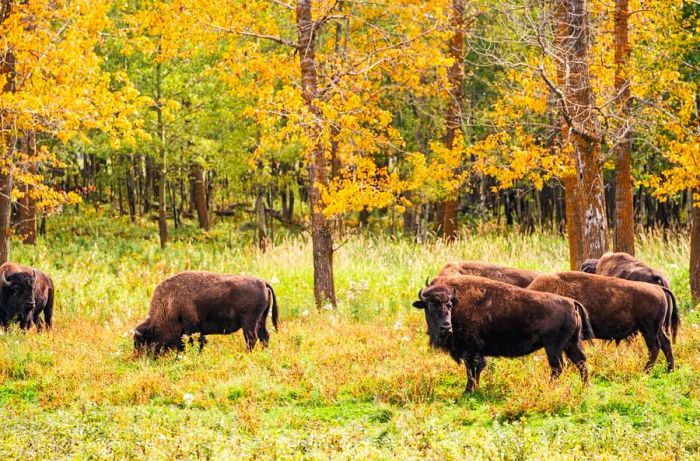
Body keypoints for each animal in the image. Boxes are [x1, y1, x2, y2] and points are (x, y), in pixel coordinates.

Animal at [134, 272, 278, 354]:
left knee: (252, 338)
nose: (139, 358)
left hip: (249, 322)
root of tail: (263, 283)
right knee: (264, 336)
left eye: (142, 342)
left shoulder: (192, 329)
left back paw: (246, 354)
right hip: (261, 320)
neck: (169, 303)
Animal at [412, 274, 592, 392]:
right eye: (430, 306)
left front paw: (468, 391)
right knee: (580, 361)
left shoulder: (471, 349)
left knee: (558, 367)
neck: (458, 303)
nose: (446, 327)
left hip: (553, 347)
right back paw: (585, 386)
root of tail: (571, 302)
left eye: (449, 305)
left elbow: (472, 370)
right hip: (571, 343)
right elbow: (474, 370)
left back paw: (548, 387)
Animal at [532, 272, 680, 372]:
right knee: (666, 344)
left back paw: (645, 371)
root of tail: (659, 289)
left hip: (649, 330)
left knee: (655, 347)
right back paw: (669, 370)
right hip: (656, 329)